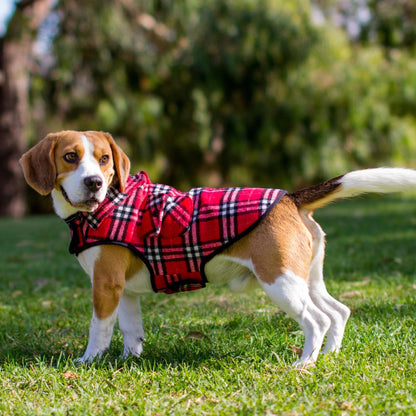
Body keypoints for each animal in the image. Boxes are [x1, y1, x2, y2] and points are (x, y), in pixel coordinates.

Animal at [19, 129, 416, 364]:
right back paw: (327, 357)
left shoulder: (105, 285)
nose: (94, 182)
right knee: (339, 312)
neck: (105, 206)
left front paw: (89, 362)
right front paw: (128, 361)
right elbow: (131, 331)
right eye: (70, 157)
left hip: (281, 284)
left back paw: (303, 364)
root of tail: (290, 197)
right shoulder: (126, 291)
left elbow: (98, 330)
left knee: (316, 320)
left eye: (103, 159)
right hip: (307, 280)